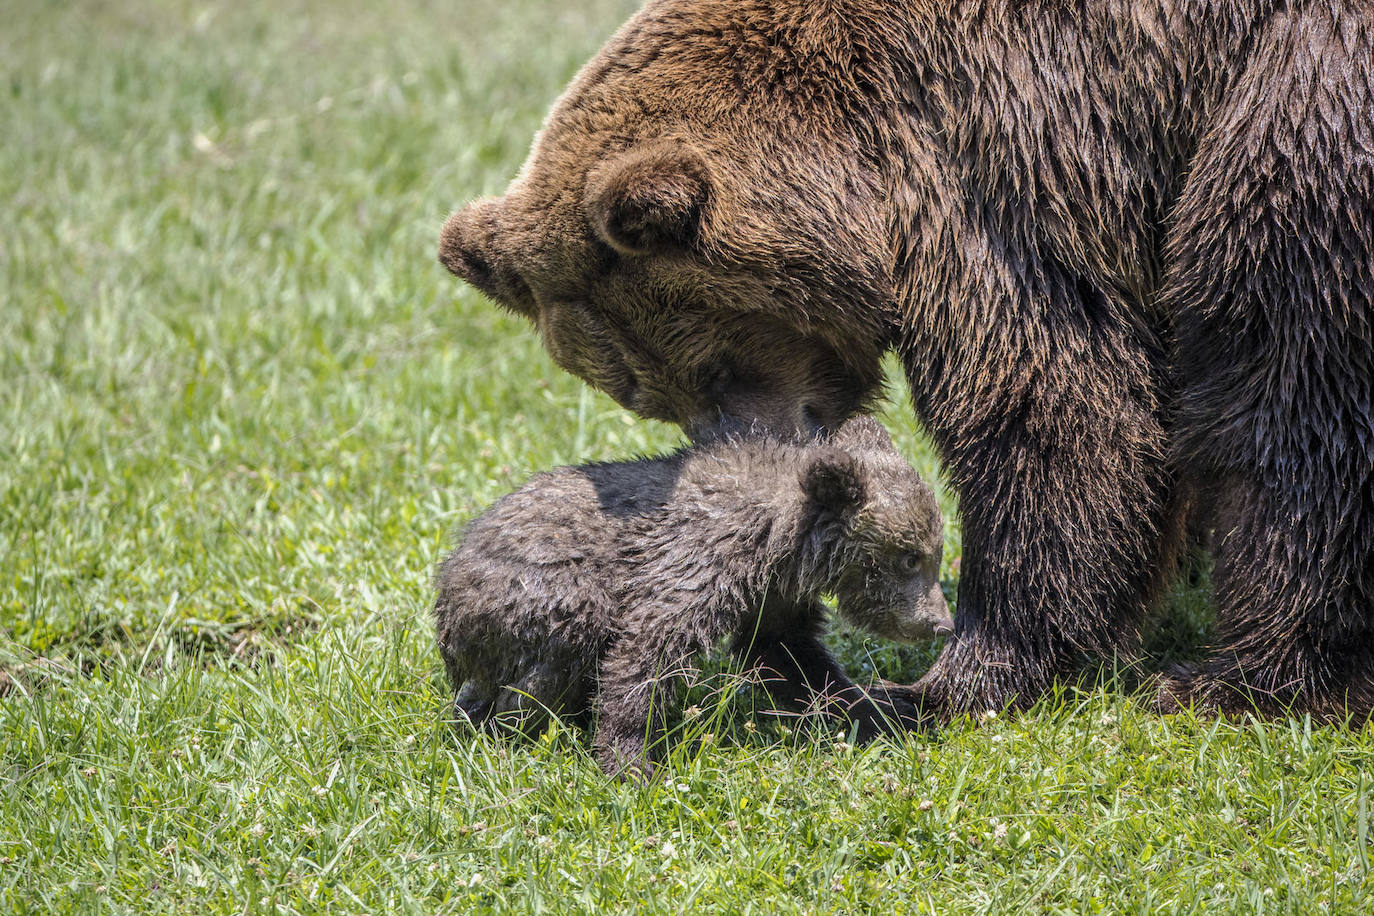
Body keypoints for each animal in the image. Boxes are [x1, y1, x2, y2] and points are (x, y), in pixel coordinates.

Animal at [433, 416, 952, 777]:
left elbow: (789, 655)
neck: (781, 541)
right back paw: (511, 730)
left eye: (933, 551)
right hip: (535, 593)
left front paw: (881, 709)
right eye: (910, 557)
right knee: (555, 649)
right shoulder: (696, 560)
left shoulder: (772, 596)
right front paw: (631, 761)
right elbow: (646, 647)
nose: (942, 624)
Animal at [437, 0, 1374, 722]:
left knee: (1287, 369)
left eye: (714, 368)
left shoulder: (1002, 149)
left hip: (1303, 109)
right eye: (642, 393)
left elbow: (1053, 396)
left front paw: (949, 679)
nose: (736, 473)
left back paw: (1234, 679)